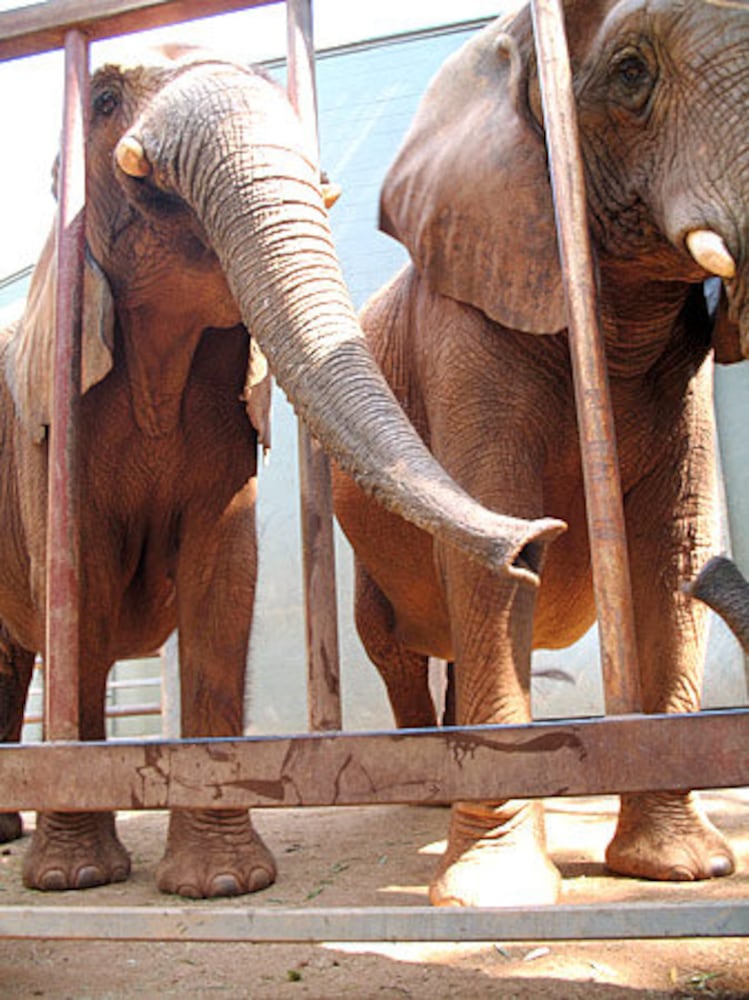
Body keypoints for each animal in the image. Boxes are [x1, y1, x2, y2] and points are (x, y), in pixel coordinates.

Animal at [0, 45, 564, 900]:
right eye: (100, 98)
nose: (538, 540)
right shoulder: (49, 422)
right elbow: (82, 593)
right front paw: (76, 879)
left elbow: (224, 579)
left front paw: (221, 884)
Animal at [334, 0, 748, 908]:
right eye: (630, 72)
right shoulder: (462, 326)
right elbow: (497, 546)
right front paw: (492, 894)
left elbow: (675, 552)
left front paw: (680, 869)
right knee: (392, 642)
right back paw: (423, 796)